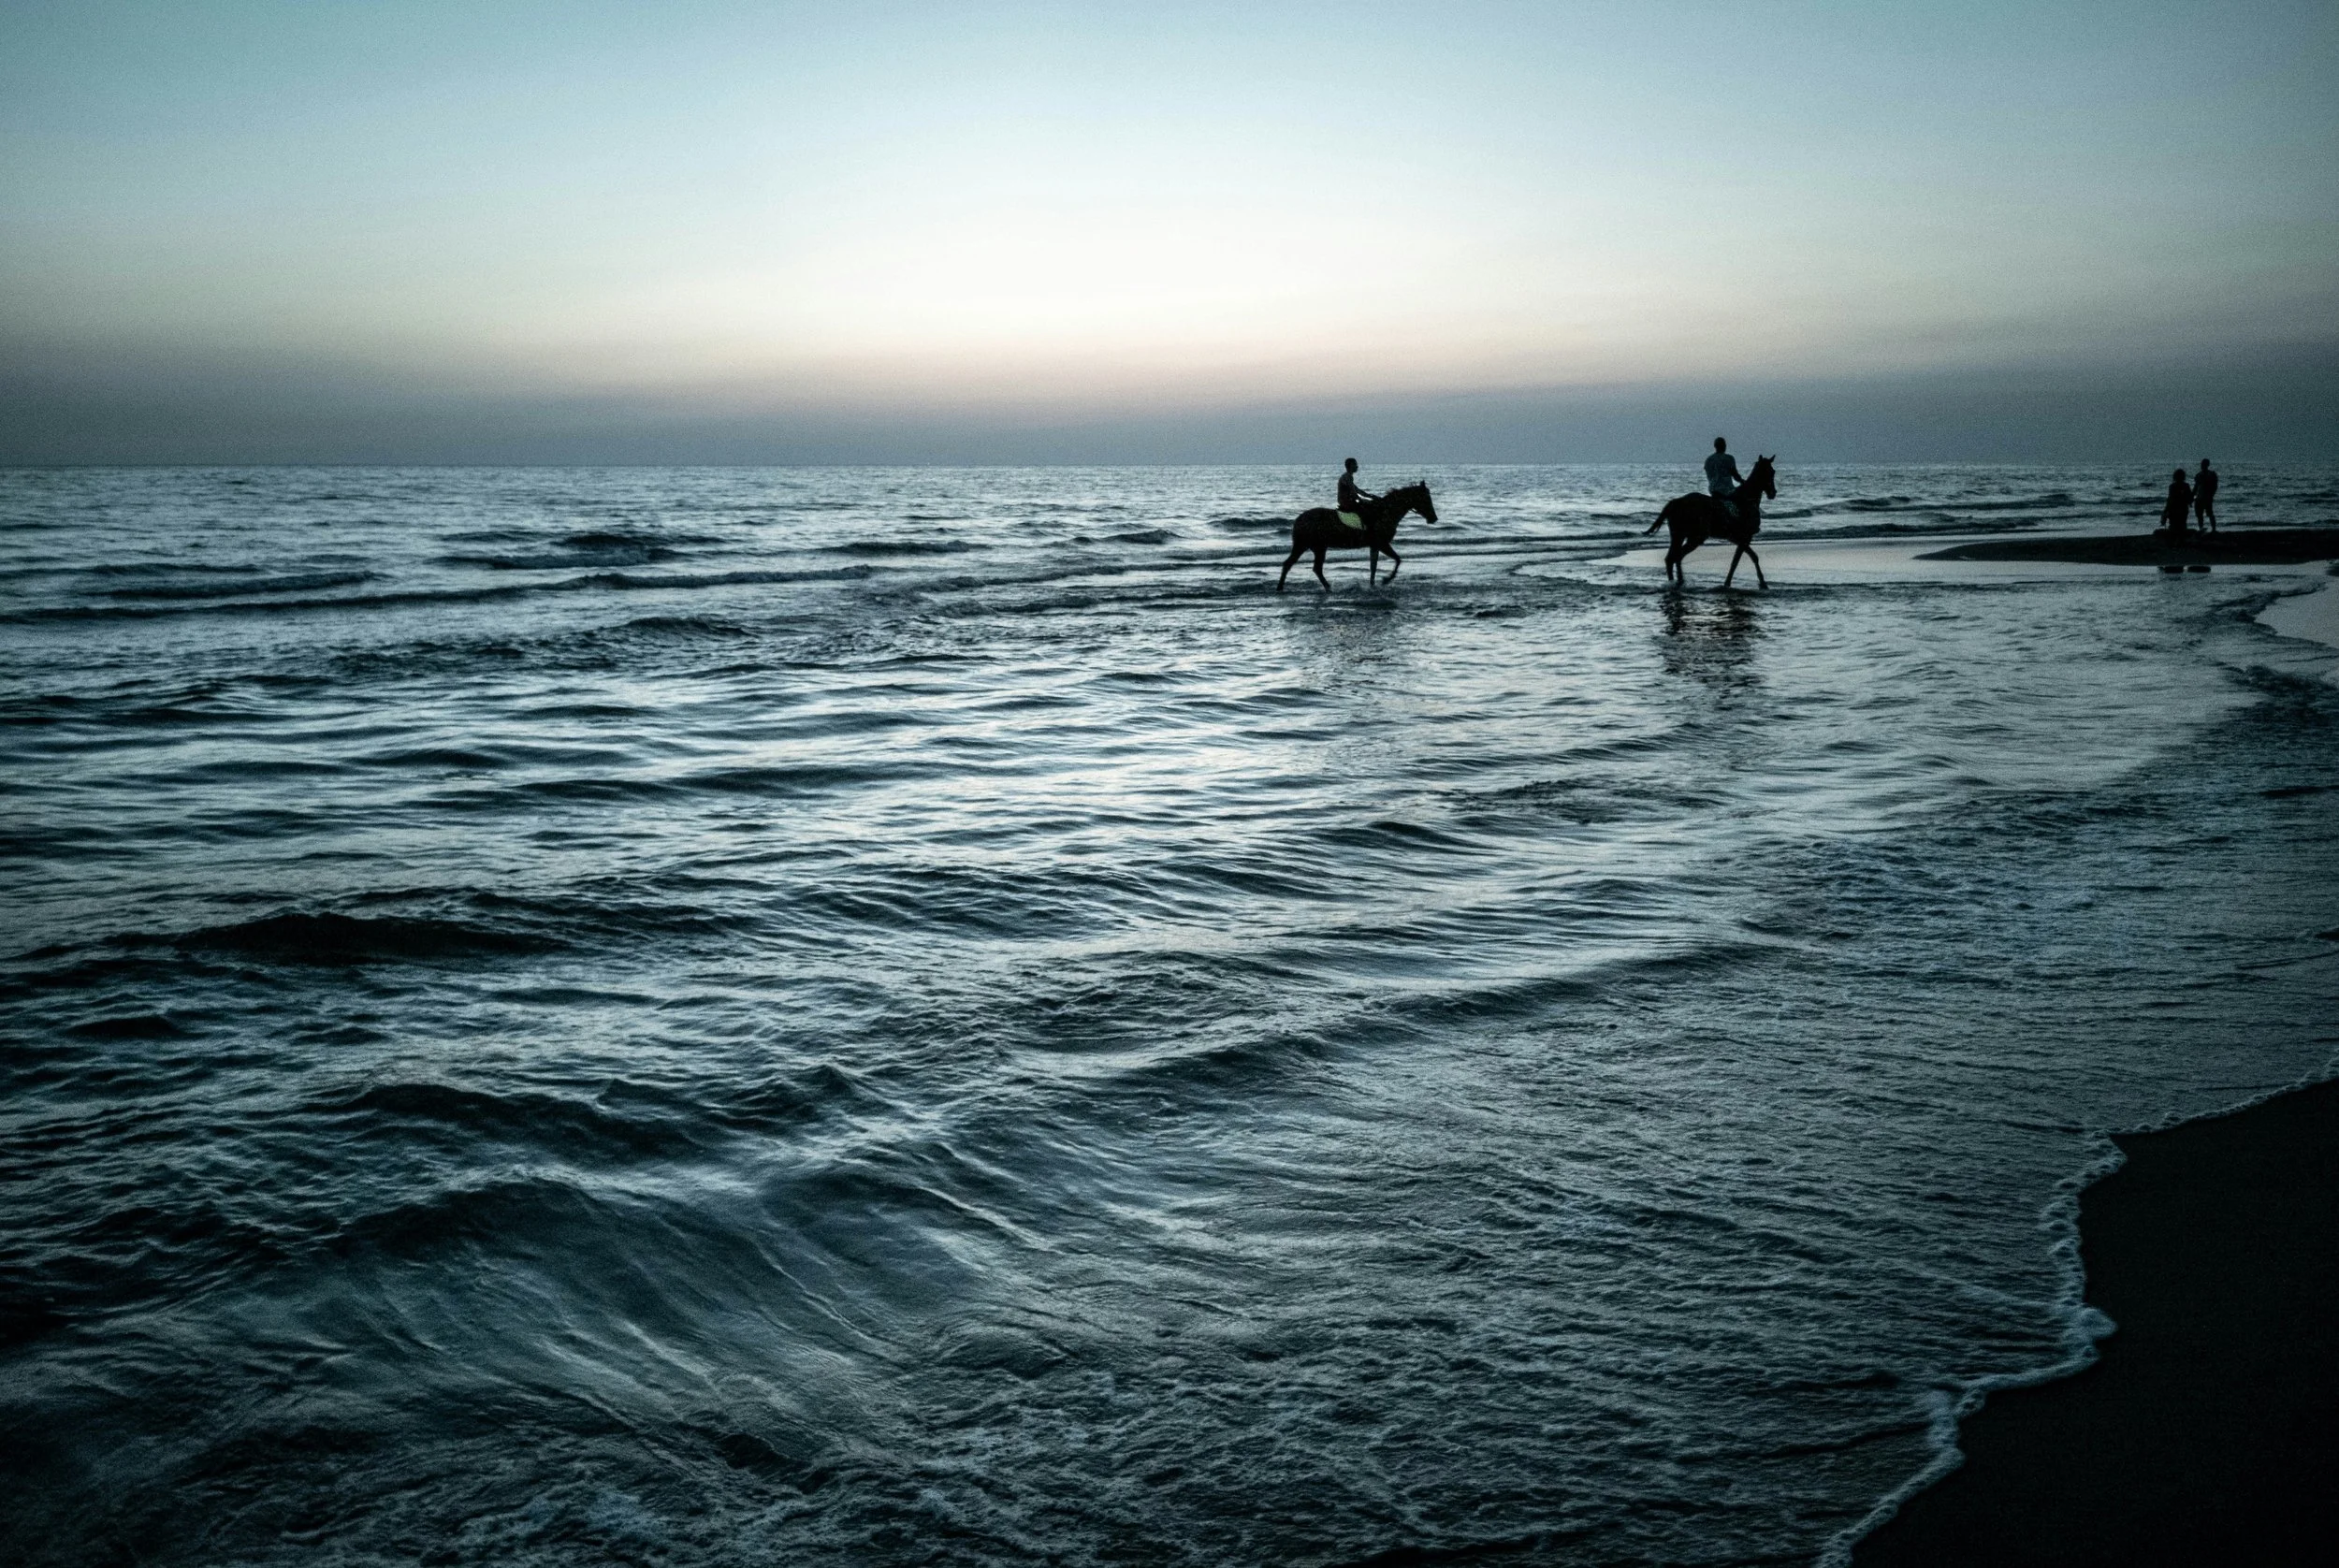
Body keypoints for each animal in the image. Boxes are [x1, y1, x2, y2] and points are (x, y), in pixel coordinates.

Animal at [1277, 482, 1437, 592]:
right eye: (1426, 499)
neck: (1384, 512)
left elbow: (1374, 567)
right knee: (1304, 566)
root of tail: (1299, 520)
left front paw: (1373, 585)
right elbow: (1397, 560)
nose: (1433, 518)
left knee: (1303, 566)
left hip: (1312, 547)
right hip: (1311, 546)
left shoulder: (1375, 546)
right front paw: (1386, 580)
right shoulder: (1382, 544)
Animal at [1646, 455, 1776, 588]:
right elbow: (1749, 558)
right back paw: (1680, 581)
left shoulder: (1738, 538)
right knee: (1677, 556)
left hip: (1678, 535)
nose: (1773, 493)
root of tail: (1678, 501)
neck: (1746, 500)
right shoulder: (1745, 537)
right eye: (1770, 472)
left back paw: (1674, 581)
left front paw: (1728, 583)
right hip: (1695, 537)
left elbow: (1740, 559)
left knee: (1670, 558)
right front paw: (1762, 583)